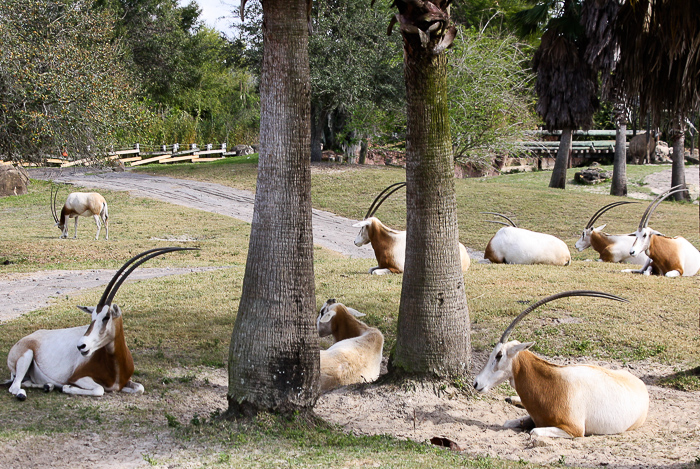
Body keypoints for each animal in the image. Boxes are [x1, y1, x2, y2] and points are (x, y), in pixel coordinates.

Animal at [5, 245, 197, 398]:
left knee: (26, 382)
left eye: (106, 317)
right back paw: (26, 392)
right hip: (26, 355)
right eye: (92, 318)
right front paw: (66, 388)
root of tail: (27, 338)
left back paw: (48, 386)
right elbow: (99, 389)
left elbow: (140, 387)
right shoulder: (79, 377)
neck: (115, 365)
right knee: (15, 386)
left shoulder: (126, 382)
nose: (81, 346)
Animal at [474, 290, 648, 436]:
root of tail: (639, 383)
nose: (476, 383)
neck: (553, 384)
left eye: (499, 355)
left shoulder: (574, 429)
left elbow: (534, 432)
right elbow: (507, 422)